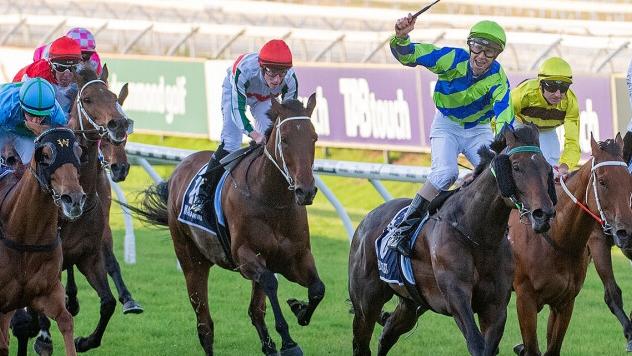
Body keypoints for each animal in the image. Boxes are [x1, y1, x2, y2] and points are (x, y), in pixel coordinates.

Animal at [129, 95, 326, 356]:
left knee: (255, 311)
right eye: (284, 139)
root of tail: (180, 169)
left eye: (314, 137)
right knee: (205, 324)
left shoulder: (296, 257)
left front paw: (299, 308)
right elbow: (271, 283)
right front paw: (289, 342)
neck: (272, 201)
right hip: (191, 260)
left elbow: (317, 289)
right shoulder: (245, 257)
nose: (306, 191)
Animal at [348, 125, 556, 356]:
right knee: (361, 342)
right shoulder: (456, 297)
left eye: (547, 168)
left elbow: (489, 346)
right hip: (366, 301)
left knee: (387, 334)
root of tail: (367, 218)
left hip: (409, 302)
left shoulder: (495, 306)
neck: (479, 235)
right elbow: (476, 344)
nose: (543, 214)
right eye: (517, 167)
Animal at [508, 134, 632, 356]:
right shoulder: (525, 299)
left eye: (629, 180)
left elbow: (552, 348)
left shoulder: (565, 302)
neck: (557, 239)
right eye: (602, 181)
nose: (626, 233)